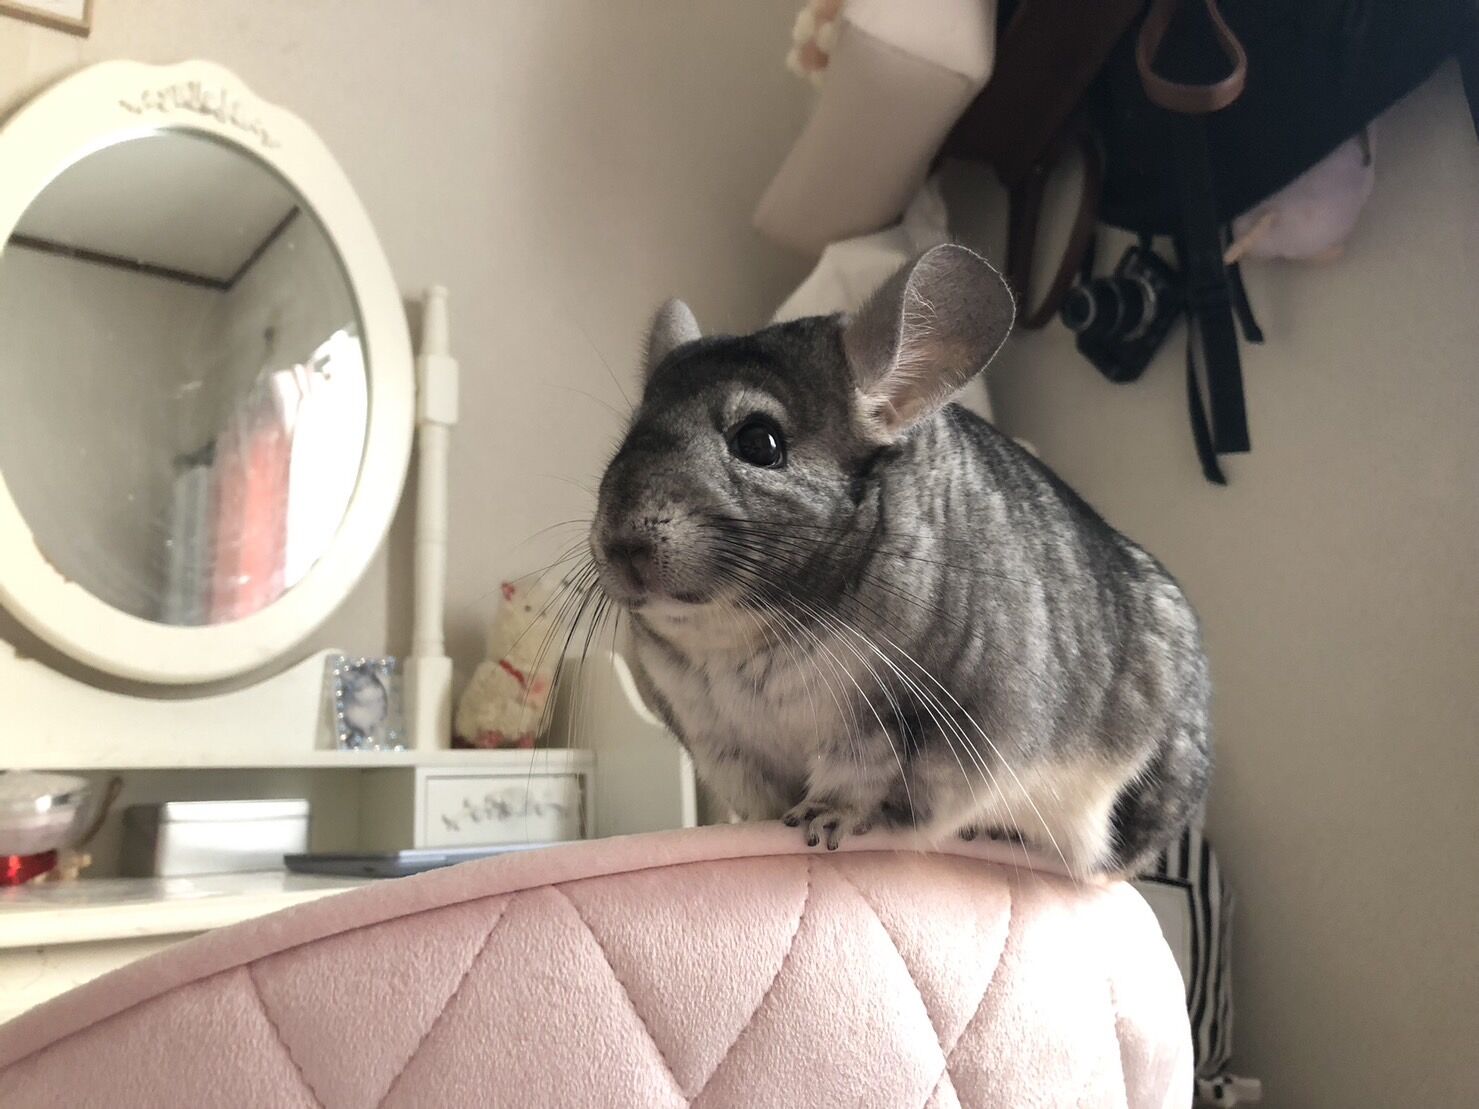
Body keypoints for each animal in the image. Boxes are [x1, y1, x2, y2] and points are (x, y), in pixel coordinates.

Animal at [589, 244, 1210, 877]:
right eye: (626, 439)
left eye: (759, 442)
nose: (620, 543)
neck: (740, 634)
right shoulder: (720, 742)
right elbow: (760, 802)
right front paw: (755, 831)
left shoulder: (895, 723)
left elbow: (856, 785)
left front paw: (819, 822)